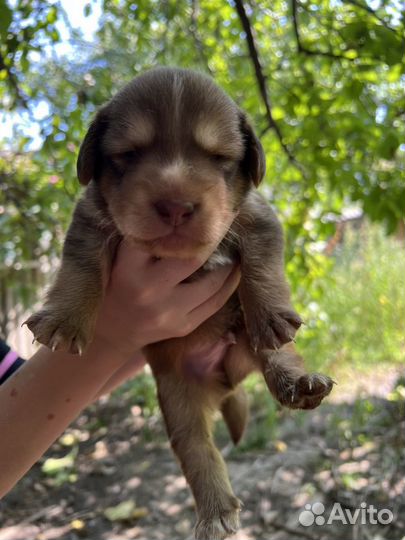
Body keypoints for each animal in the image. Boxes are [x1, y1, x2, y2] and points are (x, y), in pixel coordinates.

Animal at [24, 67, 332, 540]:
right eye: (129, 154)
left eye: (219, 157)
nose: (175, 205)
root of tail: (225, 380)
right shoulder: (88, 220)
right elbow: (79, 267)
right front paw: (65, 319)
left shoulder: (258, 215)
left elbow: (262, 265)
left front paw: (270, 312)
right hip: (177, 399)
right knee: (196, 449)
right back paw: (216, 511)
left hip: (250, 349)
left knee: (279, 359)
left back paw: (300, 382)